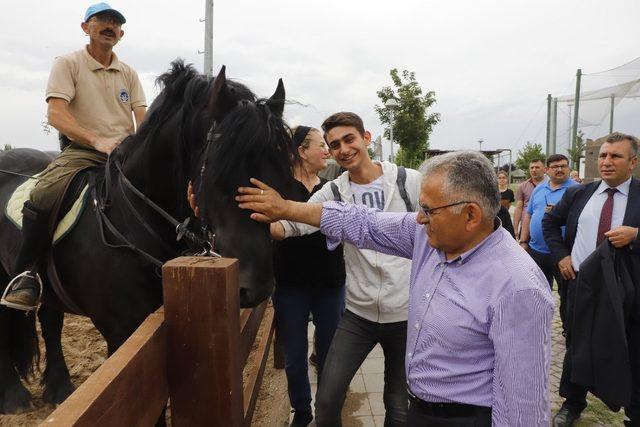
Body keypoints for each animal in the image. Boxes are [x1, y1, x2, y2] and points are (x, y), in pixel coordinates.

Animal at [0, 61, 294, 414]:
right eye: (218, 170)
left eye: (279, 175)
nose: (258, 287)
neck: (129, 219)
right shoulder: (124, 334)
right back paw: (13, 396)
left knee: (50, 319)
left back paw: (59, 389)